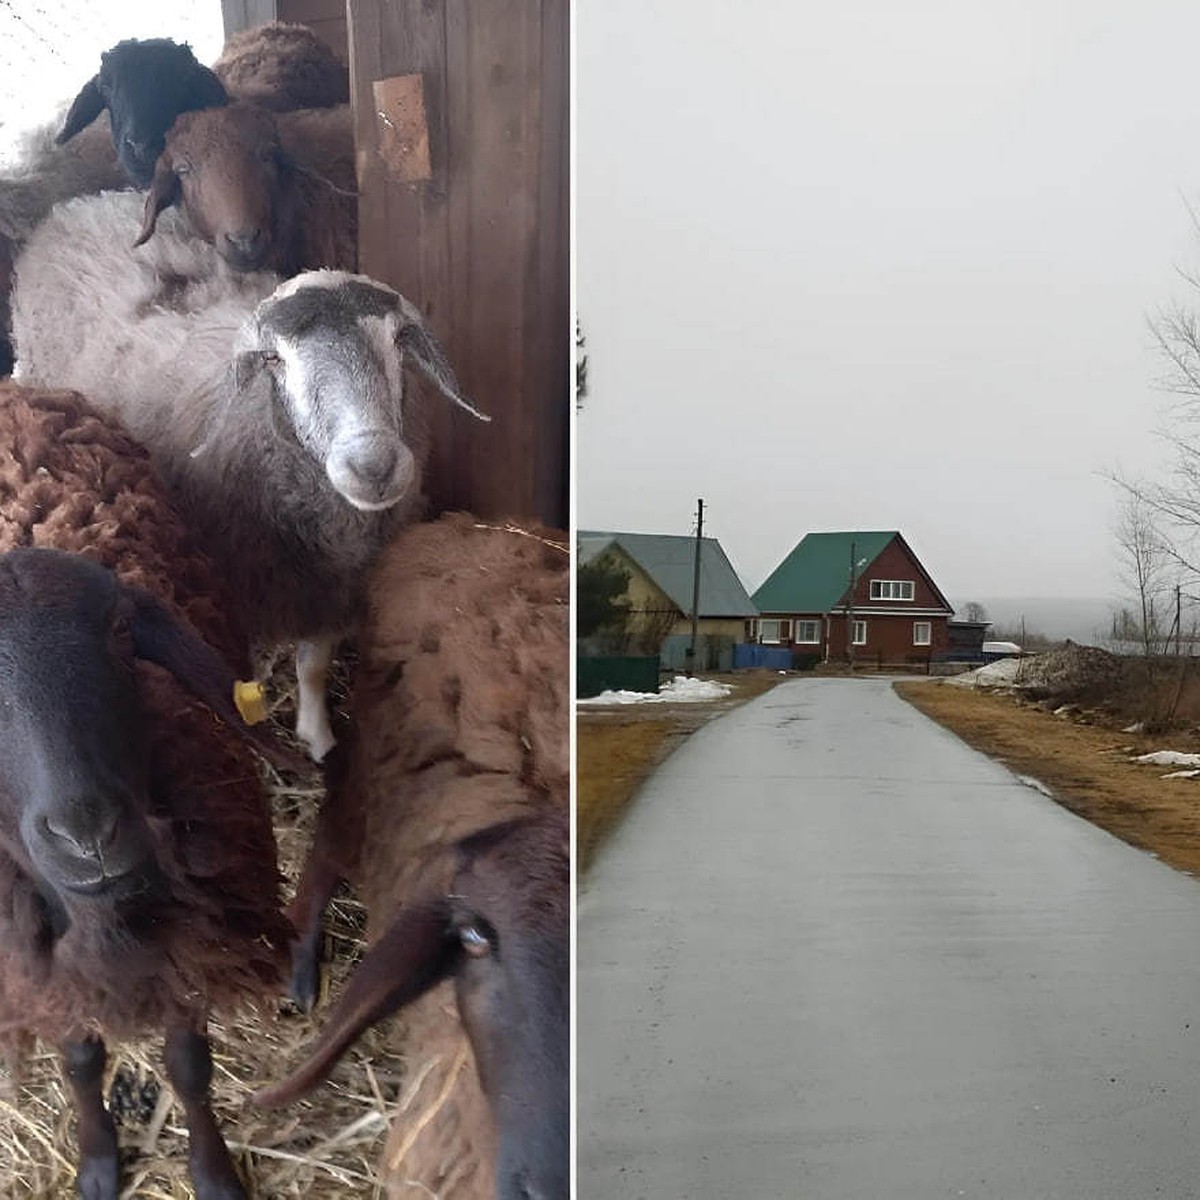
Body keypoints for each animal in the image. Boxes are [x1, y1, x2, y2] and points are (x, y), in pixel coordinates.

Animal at [0, 381, 295, 1200]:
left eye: (122, 632)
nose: (87, 834)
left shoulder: (196, 939)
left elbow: (189, 1066)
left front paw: (213, 1172)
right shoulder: (43, 968)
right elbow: (79, 1061)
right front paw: (99, 1162)